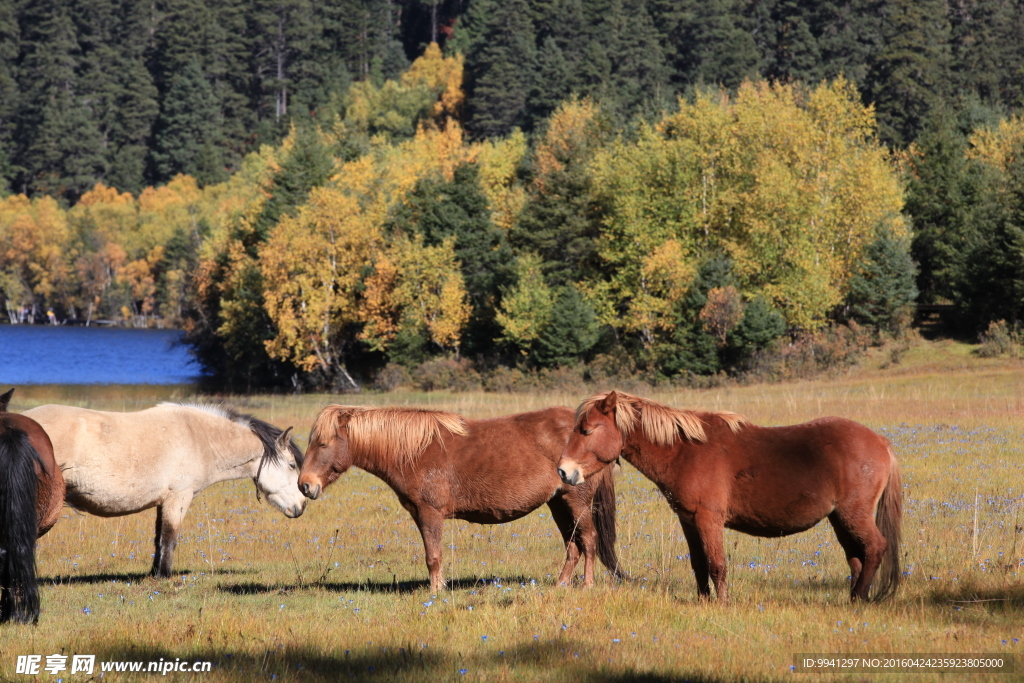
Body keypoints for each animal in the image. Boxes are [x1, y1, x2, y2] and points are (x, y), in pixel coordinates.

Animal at [23, 403, 303, 581]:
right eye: (292, 465)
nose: (301, 507)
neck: (200, 439)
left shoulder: (163, 502)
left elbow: (159, 538)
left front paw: (154, 572)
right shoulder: (178, 498)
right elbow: (170, 538)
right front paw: (165, 576)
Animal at [299, 405, 618, 593]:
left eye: (323, 444)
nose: (305, 485)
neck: (415, 450)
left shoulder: (429, 513)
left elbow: (433, 556)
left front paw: (435, 593)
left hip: (576, 501)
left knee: (588, 539)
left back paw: (587, 586)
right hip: (558, 503)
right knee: (572, 545)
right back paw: (561, 585)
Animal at [557, 393, 901, 602]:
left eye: (587, 430)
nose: (563, 471)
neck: (686, 451)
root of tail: (880, 442)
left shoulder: (709, 518)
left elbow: (717, 564)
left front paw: (722, 603)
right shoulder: (689, 519)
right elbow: (698, 563)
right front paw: (703, 601)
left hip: (853, 515)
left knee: (875, 548)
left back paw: (859, 598)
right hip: (840, 518)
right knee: (857, 556)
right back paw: (854, 596)